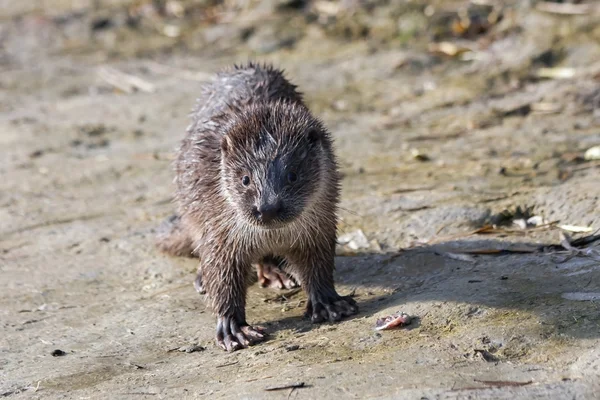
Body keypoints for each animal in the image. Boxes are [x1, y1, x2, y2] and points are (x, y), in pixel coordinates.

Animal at [157, 61, 358, 350]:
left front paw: (329, 303)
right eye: (245, 179)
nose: (268, 208)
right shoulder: (220, 232)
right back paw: (203, 278)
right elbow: (223, 276)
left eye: (293, 174)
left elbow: (318, 265)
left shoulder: (319, 227)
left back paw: (276, 273)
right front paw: (233, 328)